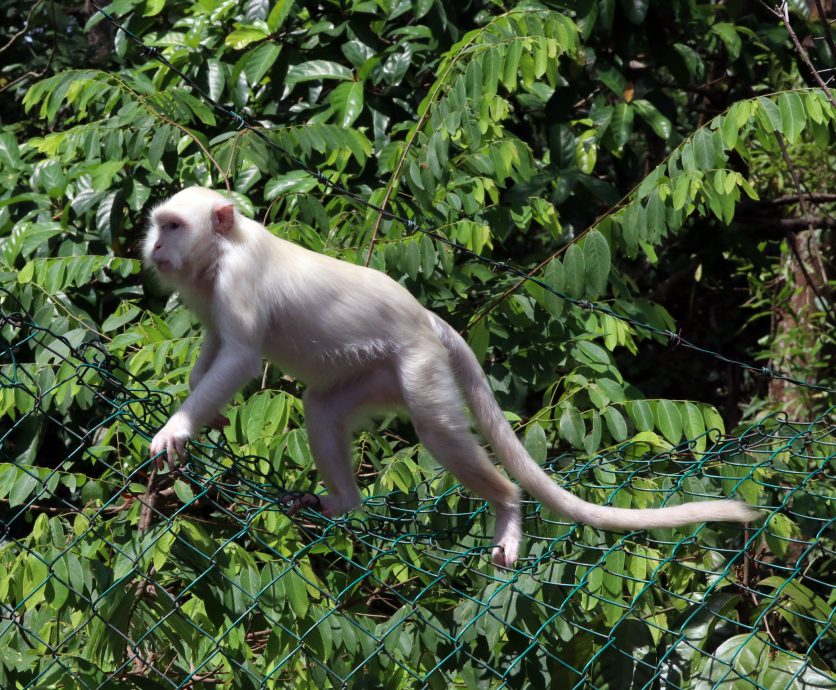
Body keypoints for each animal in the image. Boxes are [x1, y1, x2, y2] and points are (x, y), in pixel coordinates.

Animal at [142, 187, 756, 564]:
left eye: (173, 226)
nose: (155, 247)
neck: (222, 249)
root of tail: (427, 318)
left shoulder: (238, 277)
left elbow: (242, 356)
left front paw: (175, 429)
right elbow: (217, 349)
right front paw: (201, 409)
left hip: (417, 361)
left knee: (438, 431)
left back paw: (507, 507)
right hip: (377, 372)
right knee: (324, 408)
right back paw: (343, 502)